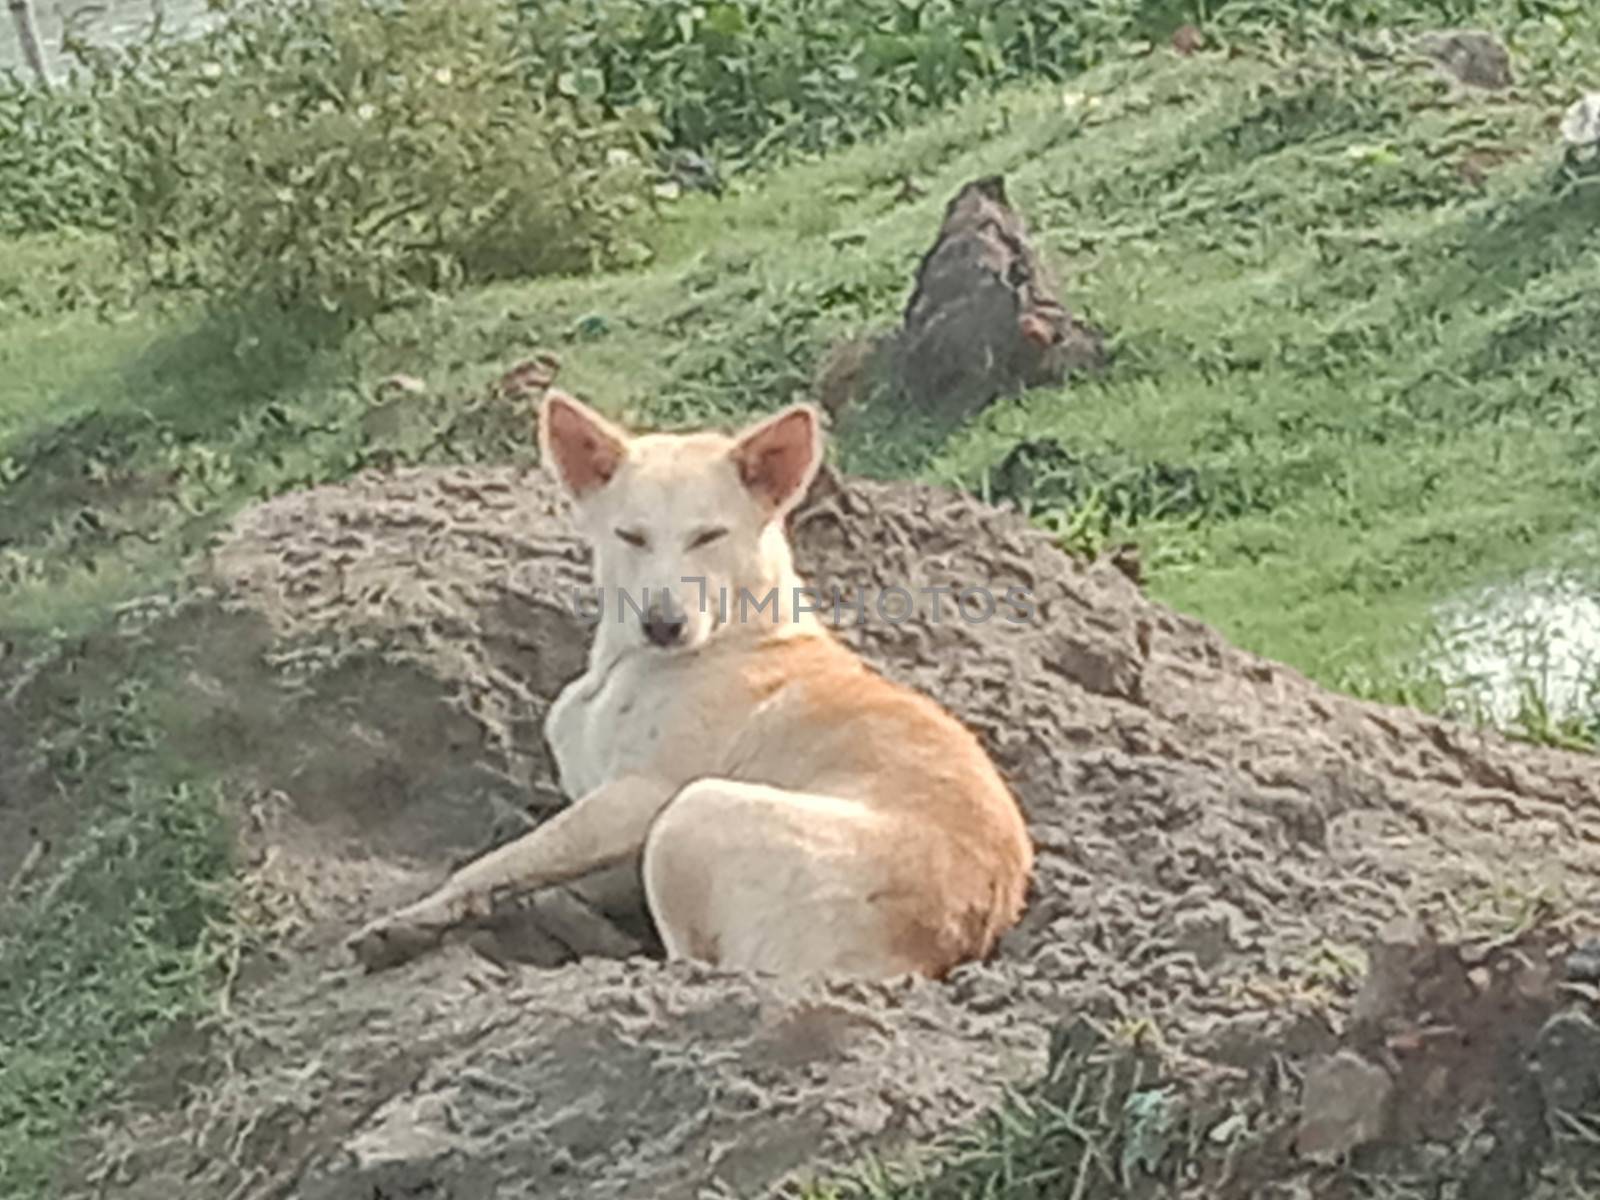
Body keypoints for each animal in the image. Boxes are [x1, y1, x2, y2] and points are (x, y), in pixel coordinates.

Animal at [344, 395, 1030, 985]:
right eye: (631, 536)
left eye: (708, 536)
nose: (663, 624)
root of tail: (937, 945)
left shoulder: (636, 800)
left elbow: (503, 860)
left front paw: (418, 917)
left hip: (693, 811)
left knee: (689, 962)